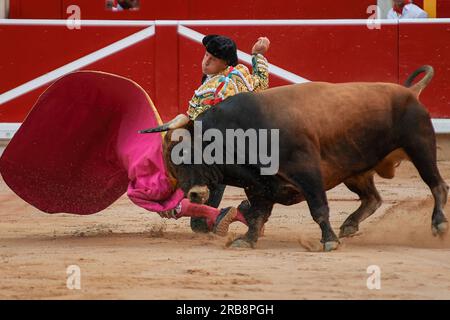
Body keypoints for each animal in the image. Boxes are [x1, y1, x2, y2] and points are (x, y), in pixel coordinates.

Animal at [140, 65, 446, 250]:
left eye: (192, 153)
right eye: (172, 162)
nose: (194, 194)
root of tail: (409, 92)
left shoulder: (307, 172)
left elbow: (318, 208)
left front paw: (328, 242)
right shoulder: (258, 185)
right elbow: (258, 215)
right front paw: (247, 240)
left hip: (420, 146)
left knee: (437, 185)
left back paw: (439, 223)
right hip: (355, 171)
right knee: (373, 198)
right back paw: (349, 225)